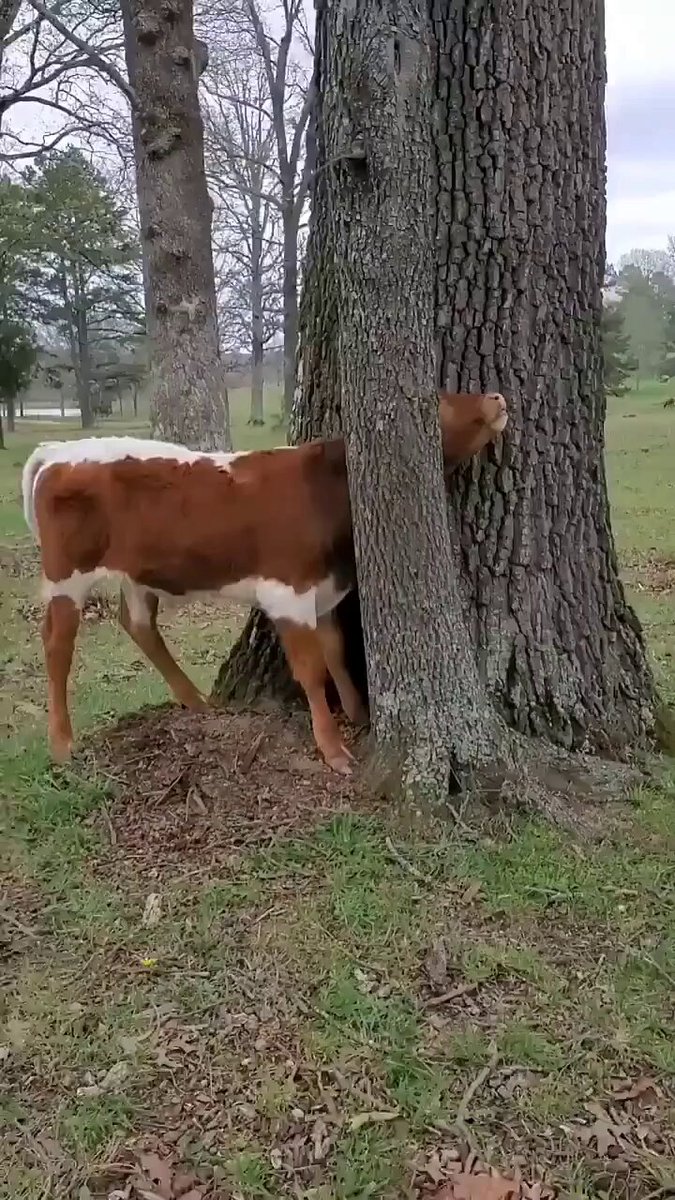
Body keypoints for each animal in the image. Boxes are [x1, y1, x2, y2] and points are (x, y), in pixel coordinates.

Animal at [22, 391, 508, 773]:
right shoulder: (287, 592)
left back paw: (196, 701)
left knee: (138, 624)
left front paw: (357, 712)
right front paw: (333, 748)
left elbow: (335, 652)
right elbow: (311, 670)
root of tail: (57, 451)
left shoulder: (324, 590)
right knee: (57, 644)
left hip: (138, 572)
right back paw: (62, 743)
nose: (497, 397)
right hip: (68, 572)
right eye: (437, 401)